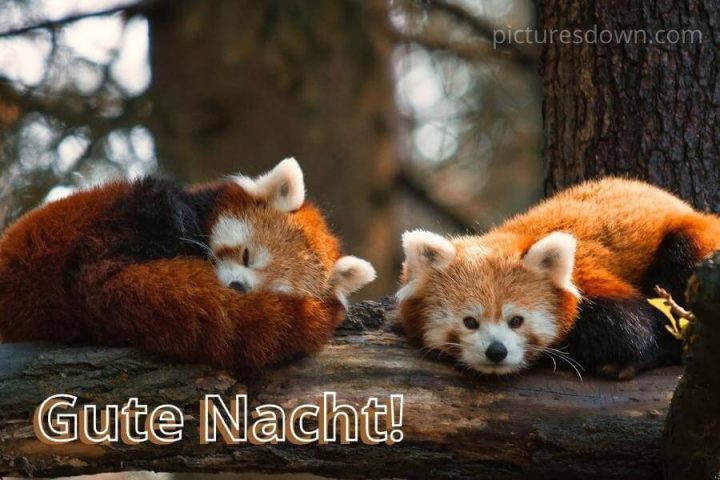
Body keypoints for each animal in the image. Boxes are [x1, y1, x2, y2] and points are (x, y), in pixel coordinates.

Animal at [397, 177, 720, 380]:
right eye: (470, 322)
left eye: (517, 320)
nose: (496, 351)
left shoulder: (591, 282)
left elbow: (633, 329)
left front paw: (620, 359)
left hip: (694, 244)